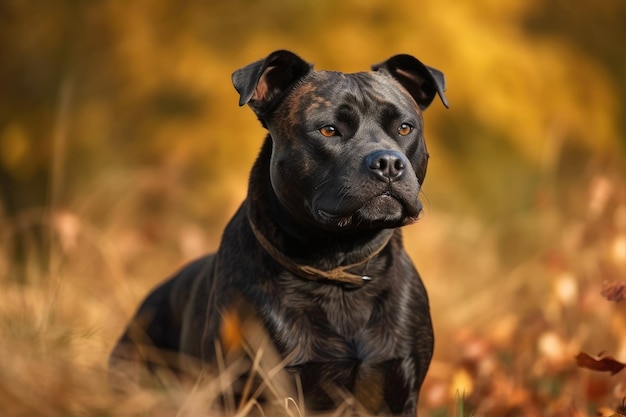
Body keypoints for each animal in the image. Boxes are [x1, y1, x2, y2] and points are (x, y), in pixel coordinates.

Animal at [109, 48, 446, 412]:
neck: (339, 266)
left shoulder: (399, 388)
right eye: (328, 130)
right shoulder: (253, 390)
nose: (388, 163)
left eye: (405, 127)